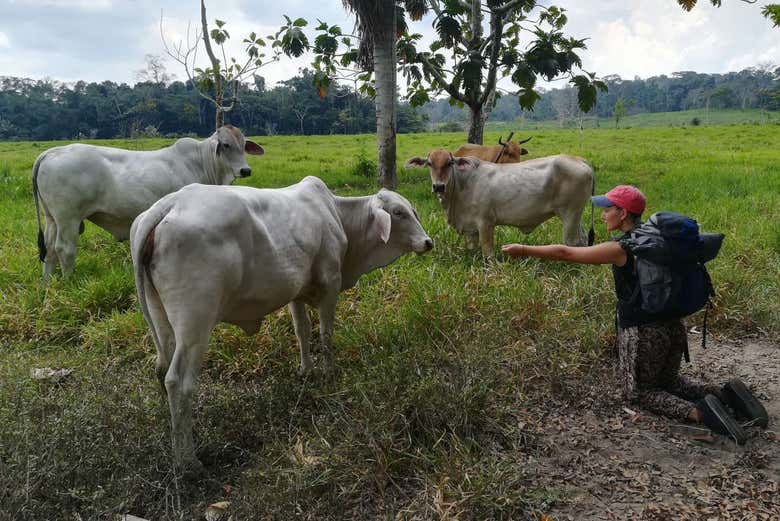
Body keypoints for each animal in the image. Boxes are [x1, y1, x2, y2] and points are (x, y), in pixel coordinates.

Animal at [32, 124, 264, 282]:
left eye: (243, 145)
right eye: (226, 145)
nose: (246, 170)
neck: (201, 162)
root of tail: (51, 152)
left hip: (51, 218)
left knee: (50, 250)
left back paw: (48, 284)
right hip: (68, 219)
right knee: (64, 249)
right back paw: (70, 281)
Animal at [406, 149, 596, 256]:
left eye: (449, 162)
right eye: (429, 163)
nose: (438, 186)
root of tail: (579, 159)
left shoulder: (485, 223)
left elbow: (487, 252)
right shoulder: (470, 229)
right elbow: (472, 249)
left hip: (570, 215)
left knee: (573, 242)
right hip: (575, 216)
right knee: (583, 241)